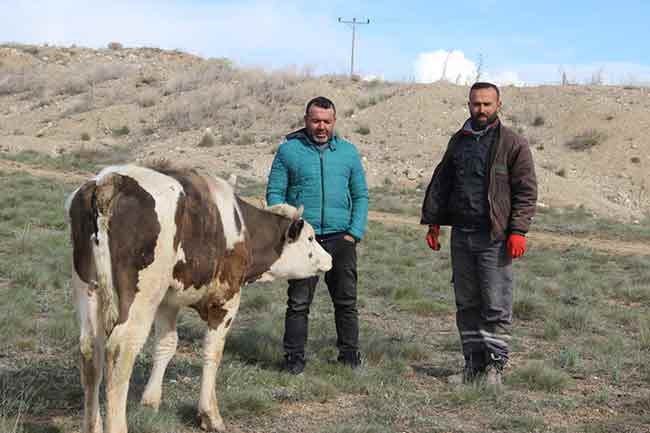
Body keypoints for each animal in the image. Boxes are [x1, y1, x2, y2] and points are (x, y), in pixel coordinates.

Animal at [66, 165, 332, 432]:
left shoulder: (168, 301)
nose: (329, 258)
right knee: (121, 349)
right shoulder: (226, 301)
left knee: (90, 350)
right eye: (310, 238)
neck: (241, 226)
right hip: (140, 299)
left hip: (89, 288)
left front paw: (150, 402)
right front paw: (210, 415)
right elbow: (213, 350)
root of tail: (111, 180)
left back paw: (92, 424)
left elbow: (166, 344)